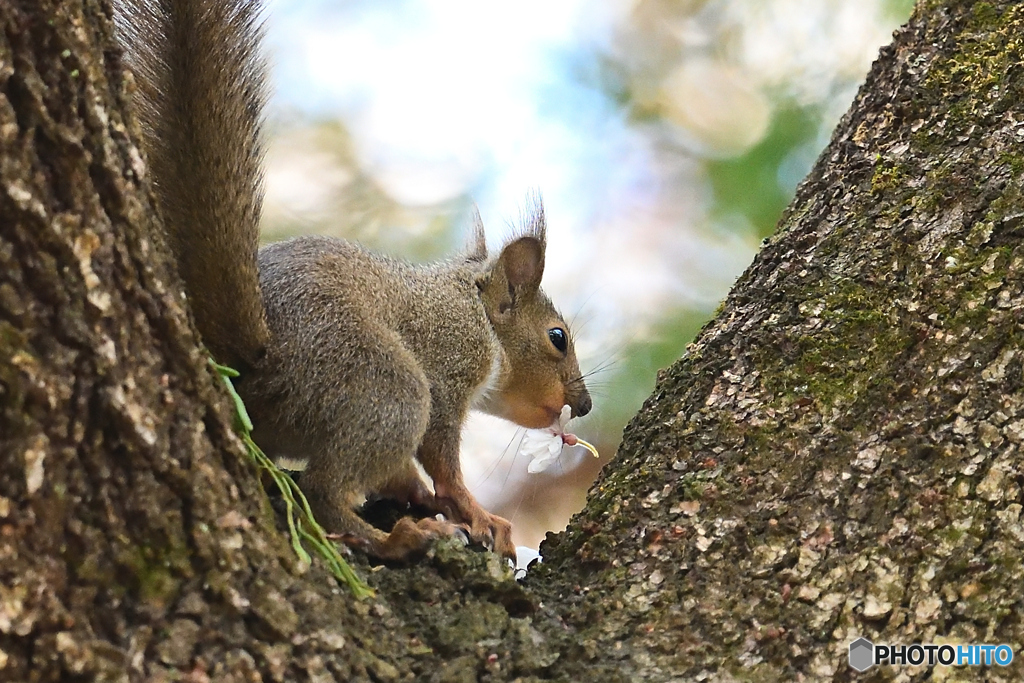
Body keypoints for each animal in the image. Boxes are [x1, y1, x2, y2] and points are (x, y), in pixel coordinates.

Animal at [114, 0, 593, 561]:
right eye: (557, 338)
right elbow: (442, 456)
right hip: (381, 383)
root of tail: (252, 358)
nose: (584, 405)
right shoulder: (450, 362)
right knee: (322, 492)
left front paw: (420, 492)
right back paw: (400, 538)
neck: (474, 310)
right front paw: (476, 513)